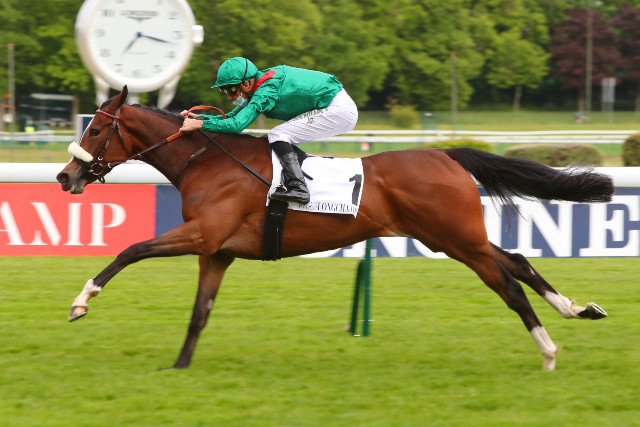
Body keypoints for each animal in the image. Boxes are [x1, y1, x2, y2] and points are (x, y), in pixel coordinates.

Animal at [56, 86, 613, 370]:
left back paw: (548, 349)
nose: (65, 176)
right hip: (452, 237)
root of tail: (447, 154)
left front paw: (81, 301)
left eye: (97, 127)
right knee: (516, 261)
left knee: (507, 284)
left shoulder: (202, 235)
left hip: (457, 239)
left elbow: (130, 250)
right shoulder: (217, 251)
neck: (205, 162)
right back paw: (578, 309)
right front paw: (179, 367)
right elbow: (199, 312)